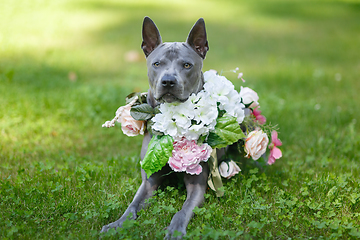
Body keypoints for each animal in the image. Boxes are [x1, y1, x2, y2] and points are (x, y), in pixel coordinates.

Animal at [100, 16, 210, 238]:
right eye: (157, 63)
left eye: (187, 65)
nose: (168, 81)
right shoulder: (148, 182)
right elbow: (132, 206)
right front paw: (118, 224)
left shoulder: (197, 185)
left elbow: (183, 210)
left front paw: (175, 230)